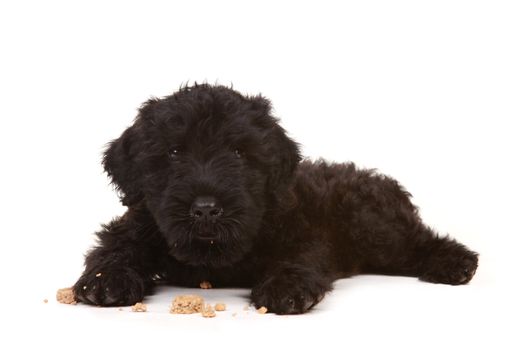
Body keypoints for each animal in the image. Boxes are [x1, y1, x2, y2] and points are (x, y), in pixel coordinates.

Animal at [73, 83, 478, 314]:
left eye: (239, 152)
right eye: (173, 152)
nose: (205, 210)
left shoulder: (304, 234)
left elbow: (298, 257)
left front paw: (287, 287)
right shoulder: (137, 224)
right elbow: (113, 248)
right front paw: (105, 279)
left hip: (374, 226)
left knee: (418, 240)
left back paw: (456, 262)